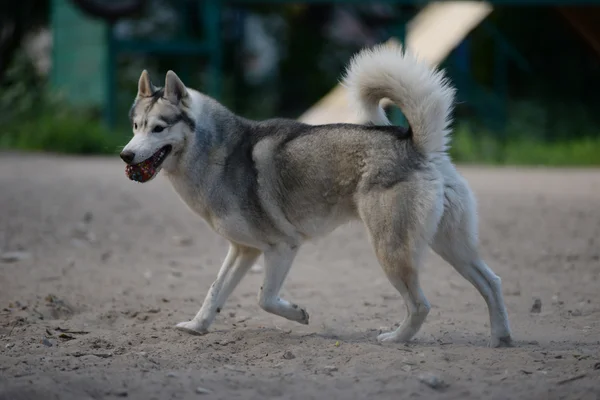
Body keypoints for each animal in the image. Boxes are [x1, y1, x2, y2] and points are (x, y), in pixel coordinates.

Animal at [120, 44, 510, 346]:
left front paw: (299, 314)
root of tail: (416, 143)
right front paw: (197, 327)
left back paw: (396, 339)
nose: (125, 155)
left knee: (421, 305)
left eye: (159, 128)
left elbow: (264, 299)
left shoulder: (282, 247)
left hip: (391, 251)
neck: (219, 153)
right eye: (135, 126)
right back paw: (500, 338)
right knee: (492, 283)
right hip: (451, 245)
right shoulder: (244, 250)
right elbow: (215, 290)